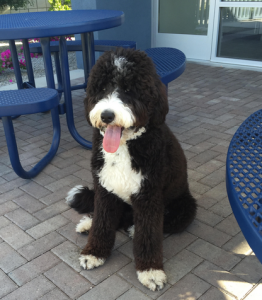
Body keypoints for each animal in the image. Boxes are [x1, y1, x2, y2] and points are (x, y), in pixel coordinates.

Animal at [65, 48, 196, 292]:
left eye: (129, 90)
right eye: (102, 88)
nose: (107, 115)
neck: (123, 147)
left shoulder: (148, 196)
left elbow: (149, 235)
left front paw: (150, 271)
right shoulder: (105, 190)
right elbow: (102, 222)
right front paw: (94, 253)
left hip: (185, 207)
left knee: (155, 224)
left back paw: (134, 228)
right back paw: (89, 223)